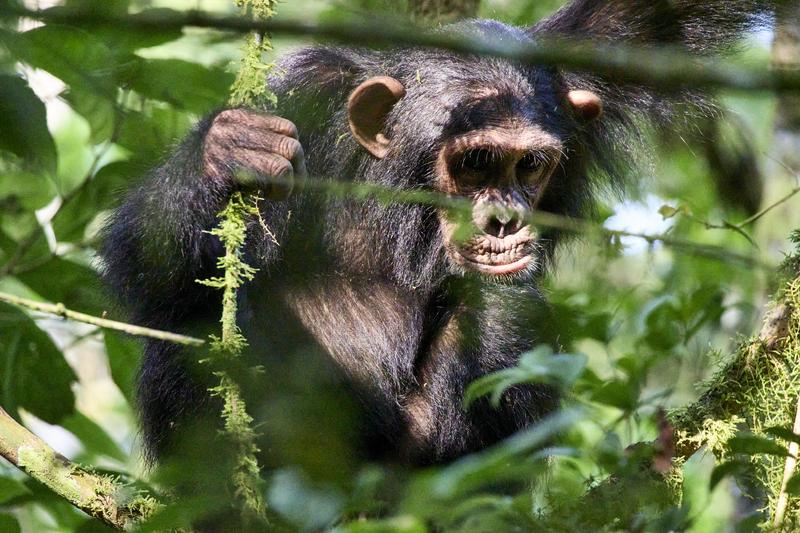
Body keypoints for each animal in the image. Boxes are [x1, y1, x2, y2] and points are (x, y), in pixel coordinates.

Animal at [100, 0, 768, 466]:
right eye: (475, 162)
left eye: (529, 166)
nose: (504, 218)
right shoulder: (303, 95)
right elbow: (147, 266)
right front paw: (229, 149)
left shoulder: (585, 69)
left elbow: (660, 17)